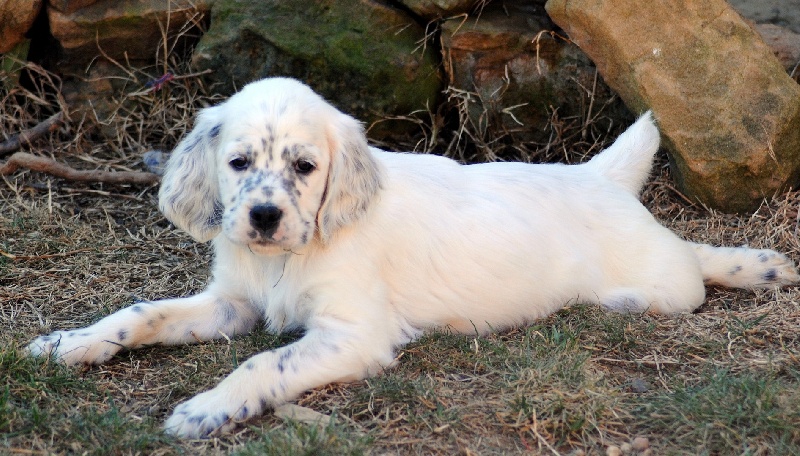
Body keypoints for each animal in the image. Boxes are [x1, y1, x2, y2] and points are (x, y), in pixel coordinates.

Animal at [27, 77, 800, 438]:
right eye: (239, 162)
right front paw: (68, 343)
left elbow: (262, 363)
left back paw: (747, 267)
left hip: (661, 279)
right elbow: (139, 313)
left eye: (305, 167)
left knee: (689, 267)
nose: (265, 217)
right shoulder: (232, 302)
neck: (286, 257)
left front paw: (206, 408)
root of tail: (597, 176)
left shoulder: (352, 333)